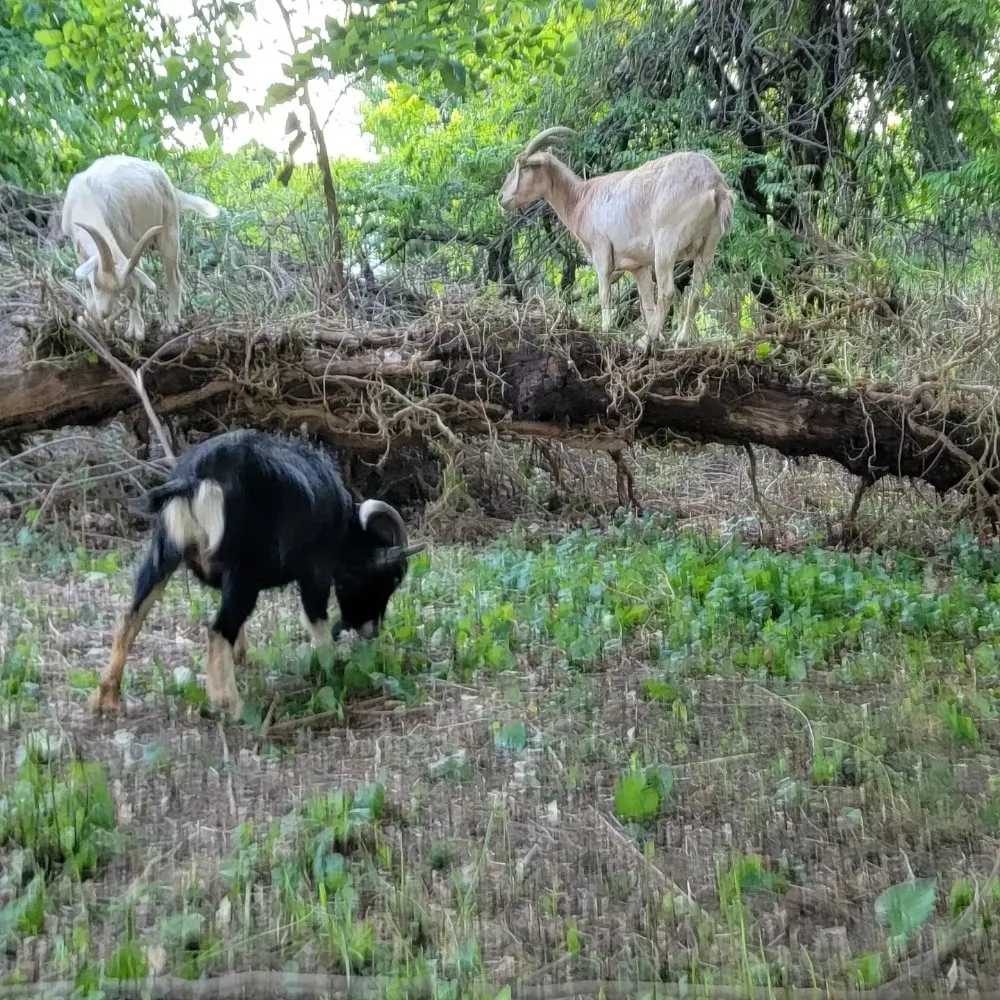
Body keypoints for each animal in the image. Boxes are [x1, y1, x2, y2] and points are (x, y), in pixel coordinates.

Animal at [61, 154, 221, 342]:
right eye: (96, 283)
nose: (104, 313)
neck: (87, 201)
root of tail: (171, 186)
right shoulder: (77, 244)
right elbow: (85, 281)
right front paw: (88, 317)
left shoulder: (127, 241)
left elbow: (133, 286)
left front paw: (136, 330)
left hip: (170, 226)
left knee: (174, 278)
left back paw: (171, 323)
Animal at [89, 429, 426, 717]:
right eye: (386, 579)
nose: (374, 630)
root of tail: (196, 481)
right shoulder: (315, 574)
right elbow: (316, 619)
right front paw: (331, 668)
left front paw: (242, 656)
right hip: (243, 575)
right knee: (217, 629)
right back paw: (229, 704)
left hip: (163, 553)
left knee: (132, 616)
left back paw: (106, 696)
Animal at [498, 127, 734, 350]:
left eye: (524, 165)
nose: (502, 198)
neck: (582, 198)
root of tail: (715, 186)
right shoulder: (638, 266)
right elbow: (646, 303)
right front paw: (658, 340)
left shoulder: (601, 249)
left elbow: (605, 293)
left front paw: (607, 330)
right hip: (708, 245)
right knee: (695, 294)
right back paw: (680, 341)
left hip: (666, 243)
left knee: (667, 292)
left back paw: (643, 342)